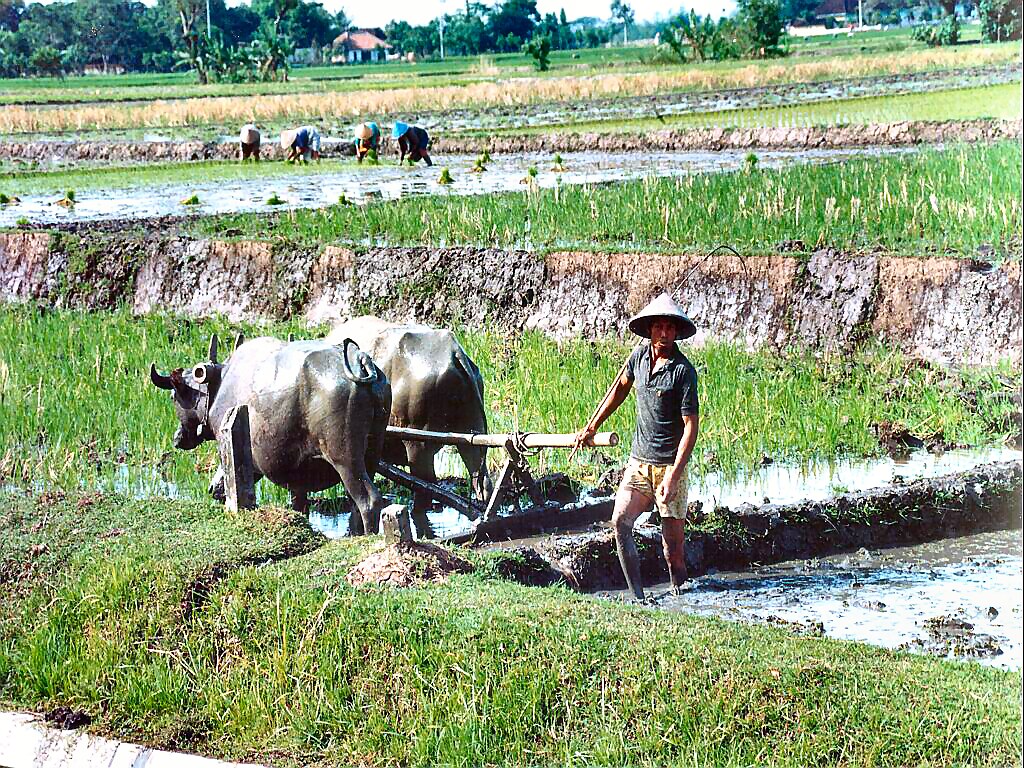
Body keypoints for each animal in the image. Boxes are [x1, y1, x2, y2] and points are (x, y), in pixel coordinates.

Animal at [149, 333, 391, 536]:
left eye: (173, 396)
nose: (177, 438)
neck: (219, 386)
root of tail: (360, 361)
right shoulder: (297, 476)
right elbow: (299, 504)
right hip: (372, 451)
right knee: (355, 501)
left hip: (345, 458)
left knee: (368, 500)